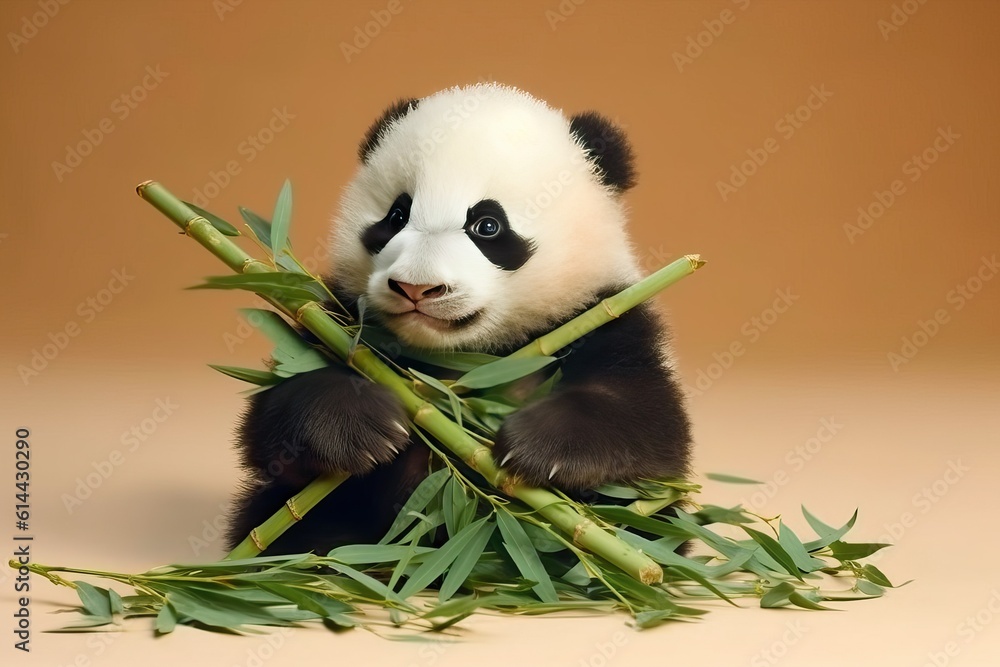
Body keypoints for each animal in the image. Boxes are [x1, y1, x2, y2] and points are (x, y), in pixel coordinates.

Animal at [225, 83, 692, 555]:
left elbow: (649, 429)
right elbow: (277, 421)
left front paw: (539, 446)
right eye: (397, 216)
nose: (416, 288)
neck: (461, 358)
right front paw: (356, 425)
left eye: (487, 226)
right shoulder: (334, 315)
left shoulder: (602, 316)